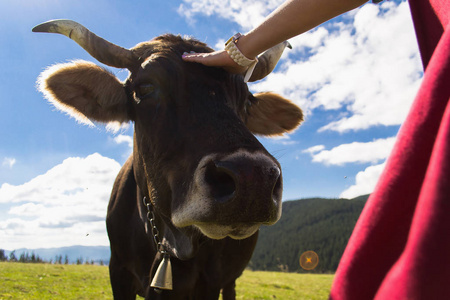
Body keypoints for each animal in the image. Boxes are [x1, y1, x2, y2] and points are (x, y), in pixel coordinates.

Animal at [33, 19, 304, 298]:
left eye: (248, 101)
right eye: (145, 88)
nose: (252, 178)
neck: (169, 242)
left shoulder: (210, 282)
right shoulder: (117, 270)